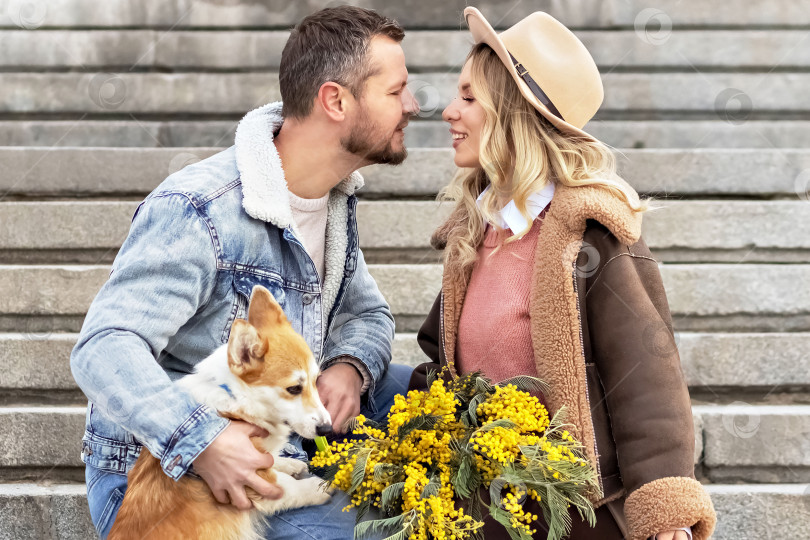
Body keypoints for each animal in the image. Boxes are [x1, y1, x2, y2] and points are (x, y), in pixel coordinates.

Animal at [107, 284, 332, 540]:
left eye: (316, 380)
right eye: (294, 388)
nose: (327, 428)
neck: (236, 396)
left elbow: (272, 458)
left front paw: (288, 463)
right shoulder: (253, 479)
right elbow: (287, 486)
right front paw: (317, 487)